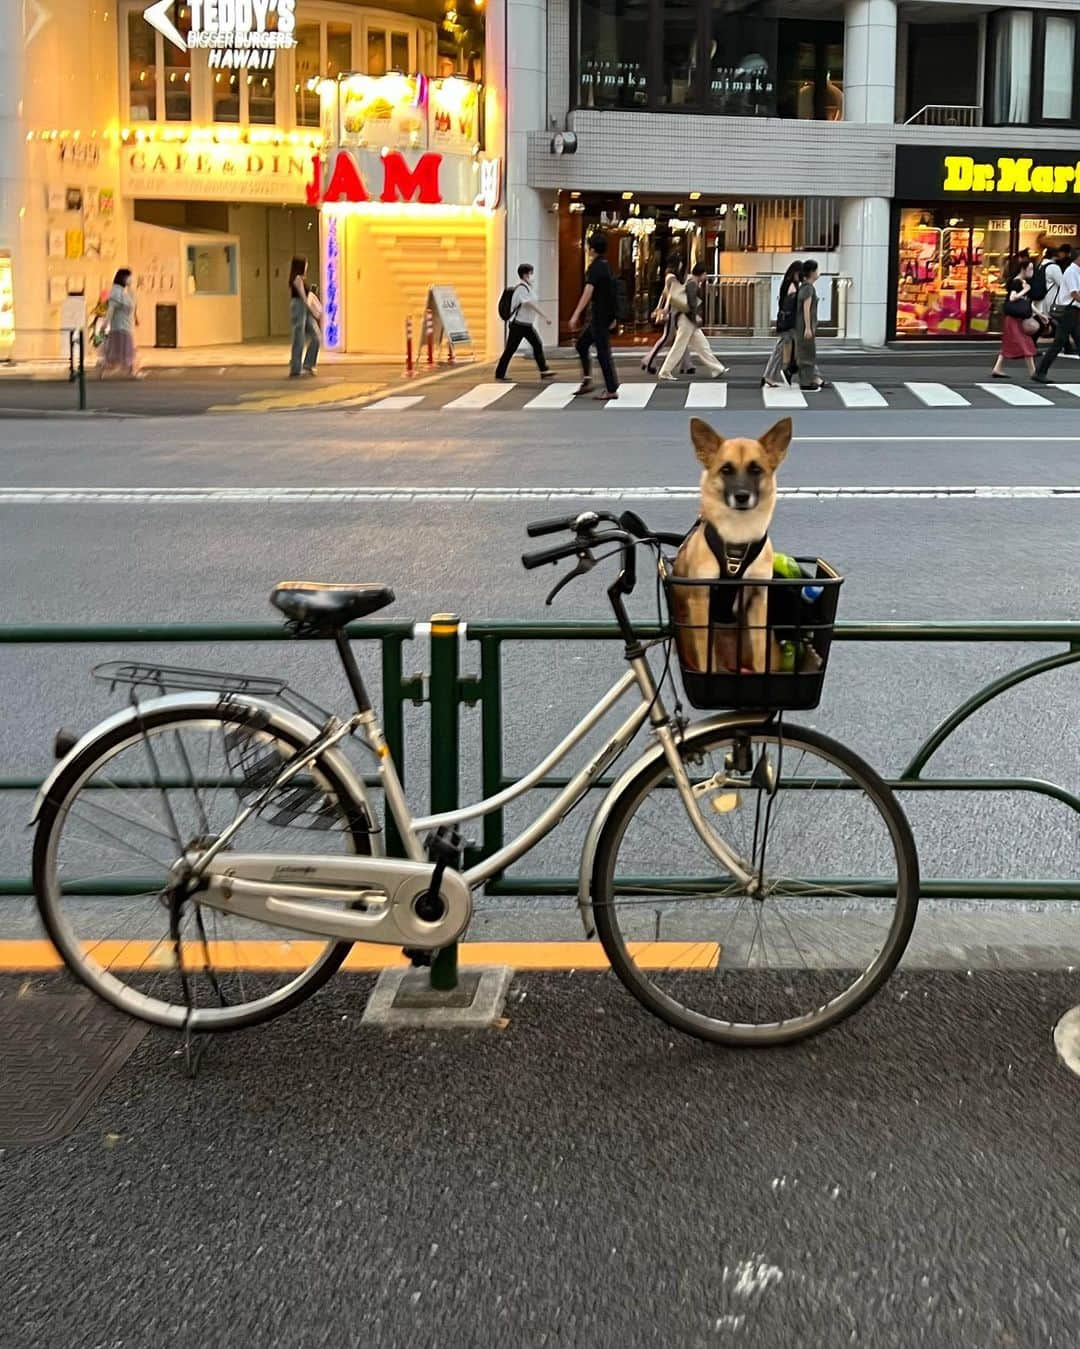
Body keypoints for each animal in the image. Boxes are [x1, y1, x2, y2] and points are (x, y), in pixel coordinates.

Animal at [668, 415, 798, 674]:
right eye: (726, 469)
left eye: (756, 469)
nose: (741, 496)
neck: (737, 536)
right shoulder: (701, 602)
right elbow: (705, 656)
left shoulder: (757, 599)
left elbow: (759, 653)